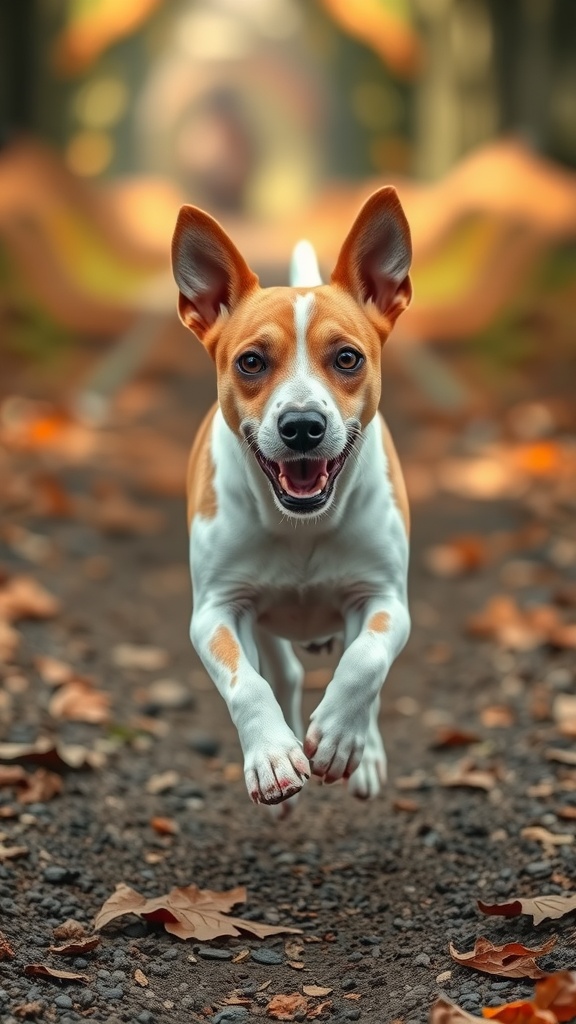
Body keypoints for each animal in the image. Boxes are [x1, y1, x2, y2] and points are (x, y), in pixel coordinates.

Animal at [171, 188, 412, 811]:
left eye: (348, 358)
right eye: (251, 361)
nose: (302, 425)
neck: (300, 525)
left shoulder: (383, 597)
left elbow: (365, 662)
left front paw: (341, 739)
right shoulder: (216, 610)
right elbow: (246, 683)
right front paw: (273, 758)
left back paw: (363, 751)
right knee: (284, 674)